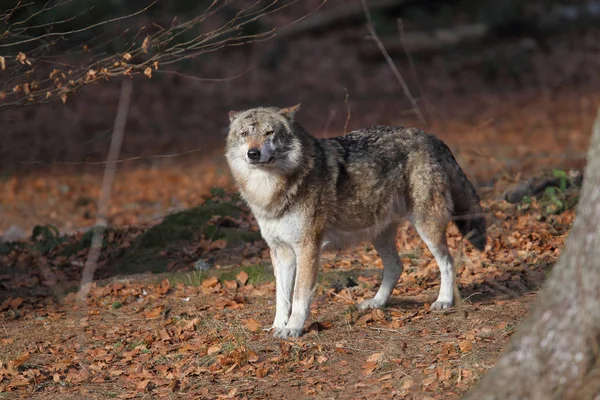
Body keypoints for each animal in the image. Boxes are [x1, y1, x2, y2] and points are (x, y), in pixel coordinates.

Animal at [226, 104, 488, 340]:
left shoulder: (307, 248)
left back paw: (444, 300)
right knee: (397, 266)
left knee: (447, 261)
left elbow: (299, 296)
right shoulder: (280, 251)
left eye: (269, 132)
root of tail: (431, 136)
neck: (269, 190)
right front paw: (277, 326)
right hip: (379, 234)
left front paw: (293, 329)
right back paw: (376, 302)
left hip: (426, 228)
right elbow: (281, 297)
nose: (253, 153)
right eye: (245, 134)